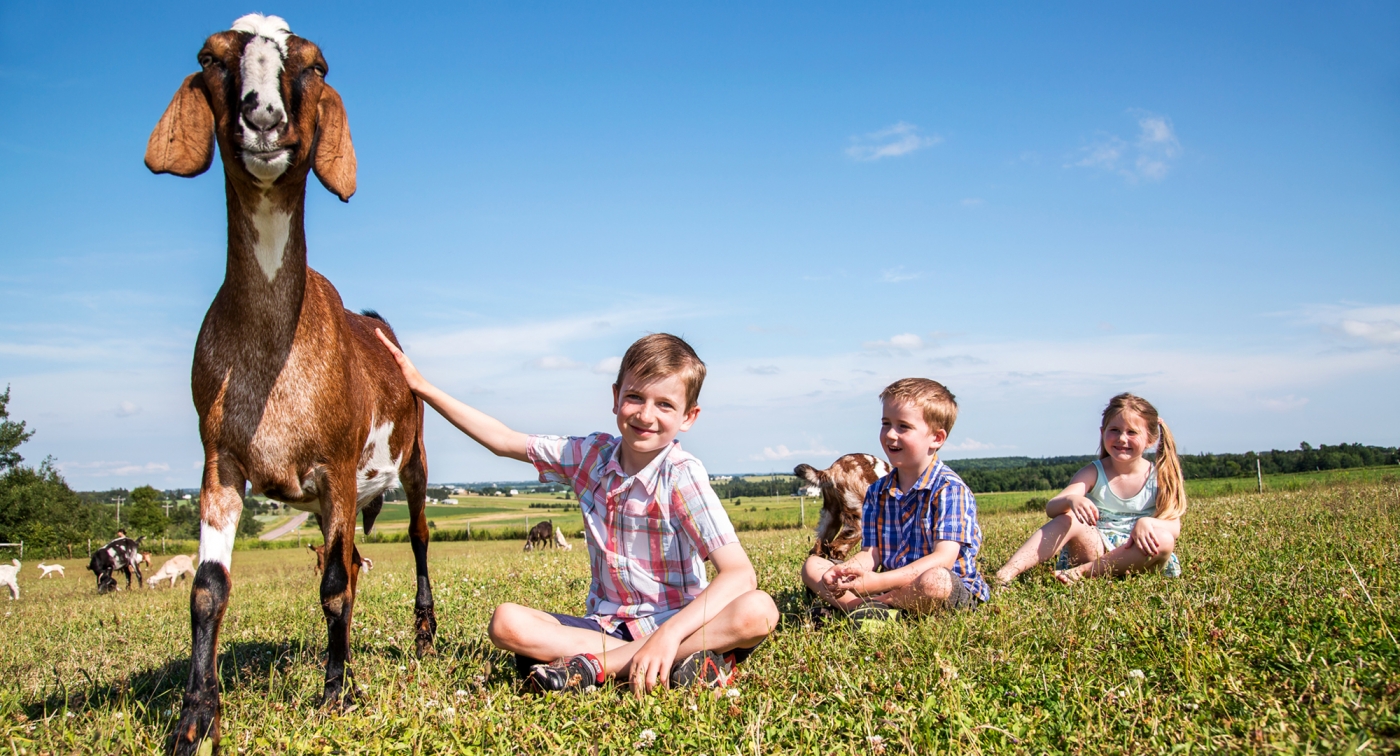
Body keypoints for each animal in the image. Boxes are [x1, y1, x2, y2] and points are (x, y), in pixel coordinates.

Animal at [144, 13, 434, 756]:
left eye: (316, 64)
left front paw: (334, 696)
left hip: (412, 458)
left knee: (416, 537)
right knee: (356, 563)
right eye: (210, 56)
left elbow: (332, 583)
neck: (273, 351)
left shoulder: (335, 467)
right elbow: (208, 590)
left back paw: (423, 634)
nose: (264, 119)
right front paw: (195, 718)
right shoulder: (219, 461)